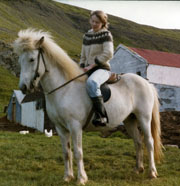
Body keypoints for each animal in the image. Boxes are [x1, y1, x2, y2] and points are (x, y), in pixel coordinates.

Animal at [13, 29, 163, 185]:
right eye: (20, 60)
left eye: (31, 59)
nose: (23, 87)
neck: (64, 89)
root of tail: (146, 83)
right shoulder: (60, 128)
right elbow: (66, 152)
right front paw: (67, 177)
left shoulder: (75, 126)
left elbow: (78, 152)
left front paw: (81, 178)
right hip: (129, 120)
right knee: (138, 142)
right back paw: (138, 169)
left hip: (144, 118)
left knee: (149, 142)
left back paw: (152, 172)